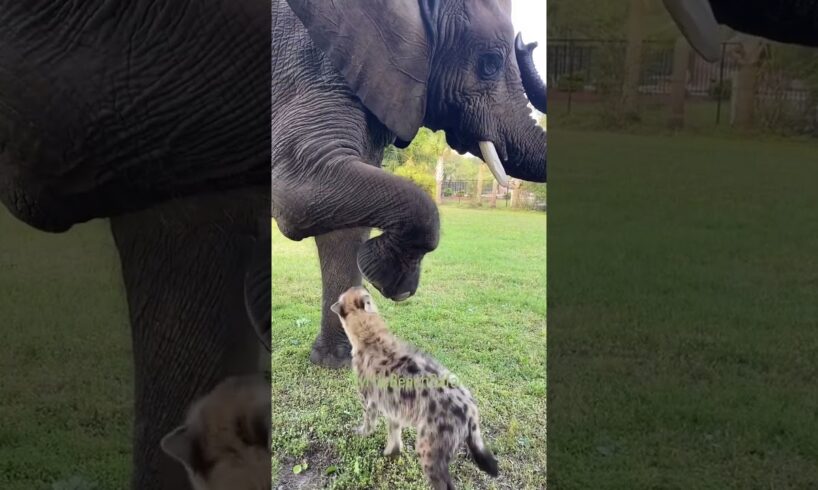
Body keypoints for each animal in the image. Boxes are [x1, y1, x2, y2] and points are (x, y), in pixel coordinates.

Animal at [270, 0, 544, 368]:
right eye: (489, 64)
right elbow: (297, 193)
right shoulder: (305, 66)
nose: (527, 42)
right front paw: (391, 281)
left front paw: (336, 362)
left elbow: (340, 224)